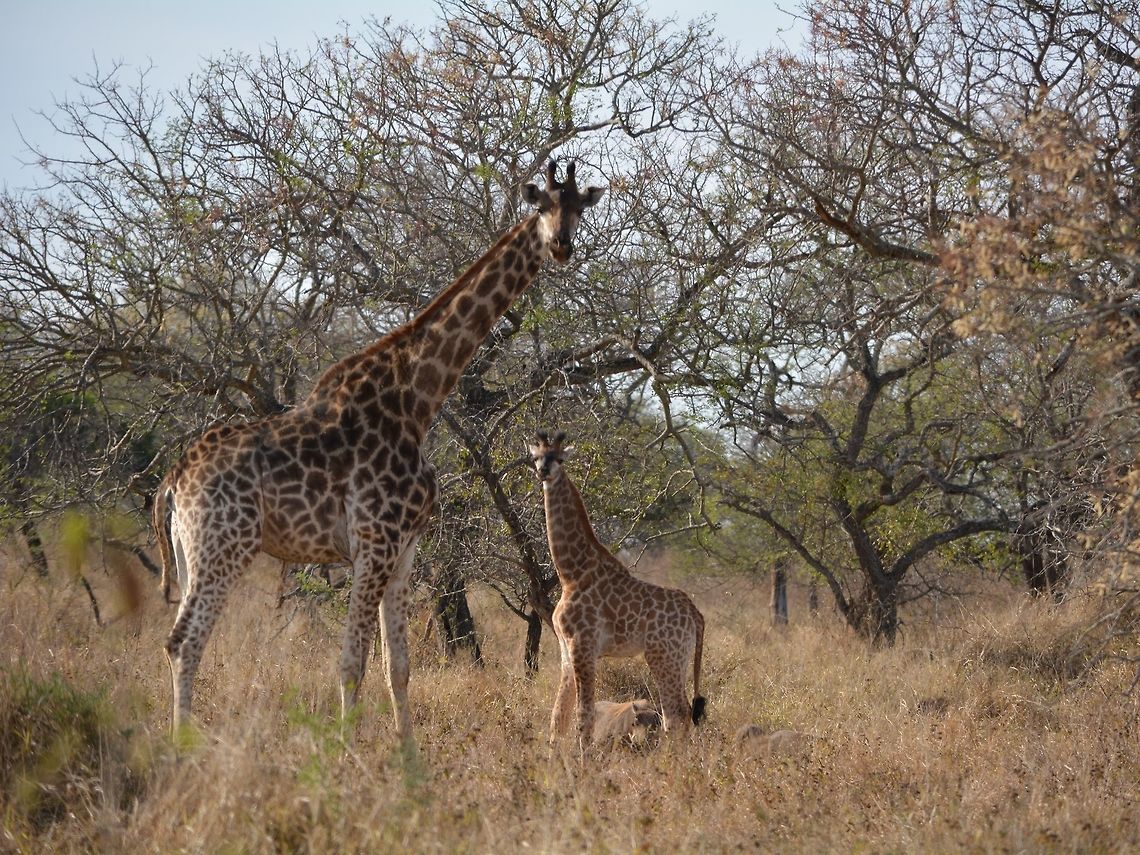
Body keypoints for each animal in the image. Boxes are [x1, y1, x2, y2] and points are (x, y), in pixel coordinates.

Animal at [152, 161, 605, 742]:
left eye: (577, 209)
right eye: (543, 205)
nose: (562, 245)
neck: (417, 401)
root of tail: (173, 479)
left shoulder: (405, 548)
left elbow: (399, 666)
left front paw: (407, 757)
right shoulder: (373, 542)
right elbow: (352, 663)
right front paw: (346, 752)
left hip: (192, 554)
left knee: (179, 639)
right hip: (225, 546)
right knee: (185, 642)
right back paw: (181, 746)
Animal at [529, 430, 707, 754]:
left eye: (559, 458)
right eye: (535, 457)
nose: (543, 471)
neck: (571, 572)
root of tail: (696, 614)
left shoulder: (583, 646)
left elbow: (583, 714)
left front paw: (584, 761)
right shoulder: (566, 649)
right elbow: (558, 717)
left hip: (663, 655)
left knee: (677, 712)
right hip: (679, 657)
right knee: (680, 713)